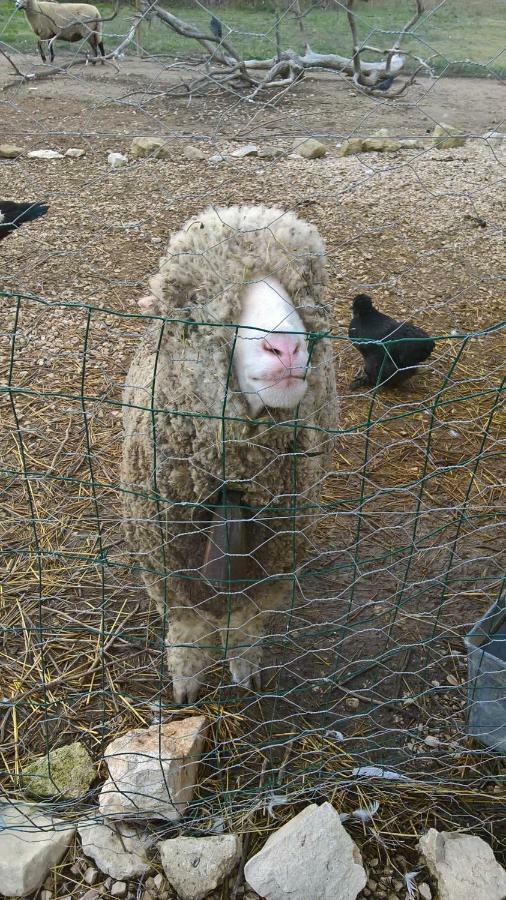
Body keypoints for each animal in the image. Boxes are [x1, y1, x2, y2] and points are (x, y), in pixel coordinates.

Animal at [120, 204, 338, 704]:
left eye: (306, 291)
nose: (286, 347)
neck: (234, 482)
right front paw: (184, 684)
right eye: (193, 308)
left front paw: (246, 670)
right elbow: (185, 629)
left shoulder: (272, 566)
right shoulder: (168, 567)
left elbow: (246, 624)